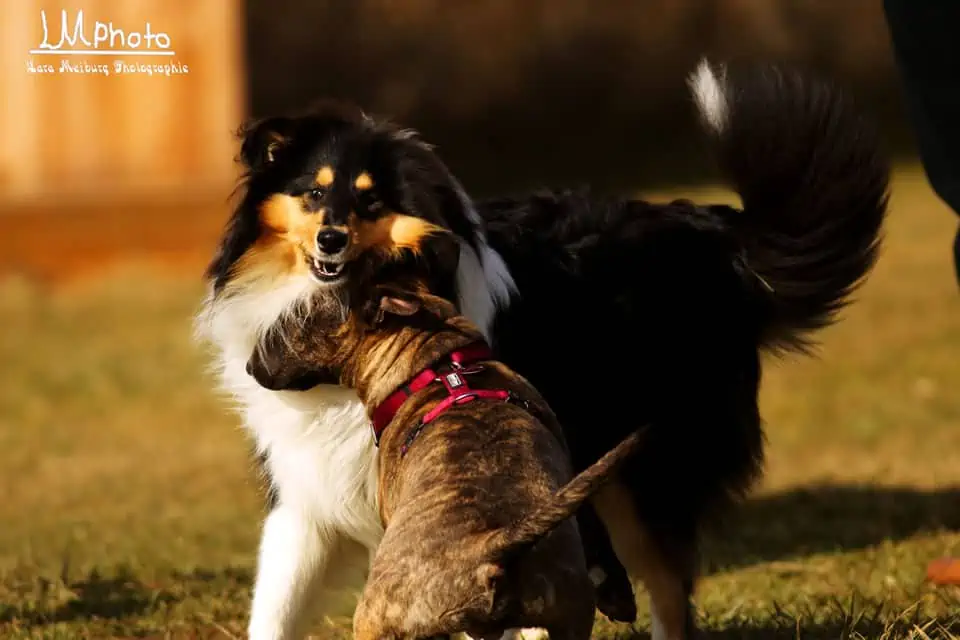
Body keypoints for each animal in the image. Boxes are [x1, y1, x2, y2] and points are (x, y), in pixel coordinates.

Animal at [248, 278, 644, 640]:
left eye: (298, 321)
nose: (251, 365)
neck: (438, 363)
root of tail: (494, 542)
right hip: (568, 615)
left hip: (375, 619)